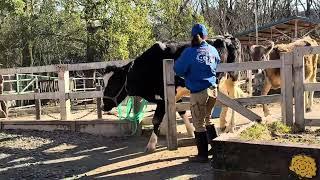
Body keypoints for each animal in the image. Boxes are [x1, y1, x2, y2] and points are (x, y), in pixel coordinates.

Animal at [102, 35, 240, 153]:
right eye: (103, 82)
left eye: (113, 83)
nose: (104, 106)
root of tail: (228, 37)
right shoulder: (173, 95)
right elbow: (181, 112)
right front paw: (190, 131)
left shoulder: (163, 97)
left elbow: (156, 120)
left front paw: (151, 144)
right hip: (220, 82)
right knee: (226, 102)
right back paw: (222, 124)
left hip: (232, 76)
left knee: (235, 99)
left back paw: (231, 126)